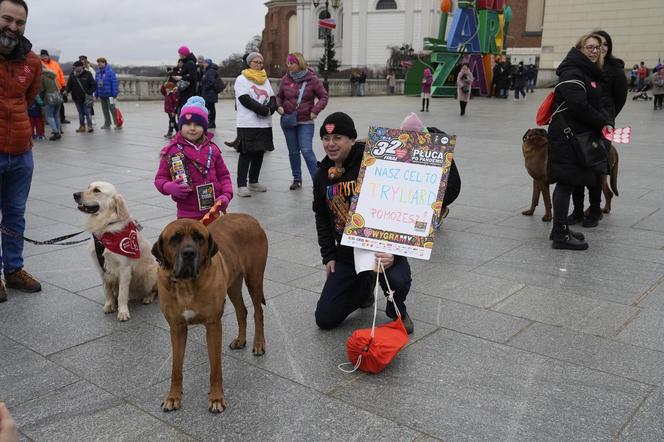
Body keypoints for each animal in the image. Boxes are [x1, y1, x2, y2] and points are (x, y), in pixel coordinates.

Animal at [153, 214, 270, 414]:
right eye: (175, 238)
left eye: (199, 237)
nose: (189, 253)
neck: (186, 285)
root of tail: (251, 218)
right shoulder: (177, 328)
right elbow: (176, 368)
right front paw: (173, 397)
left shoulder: (213, 325)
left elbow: (215, 368)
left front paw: (216, 398)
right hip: (233, 284)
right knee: (242, 311)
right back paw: (241, 340)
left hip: (254, 279)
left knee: (258, 312)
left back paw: (259, 344)